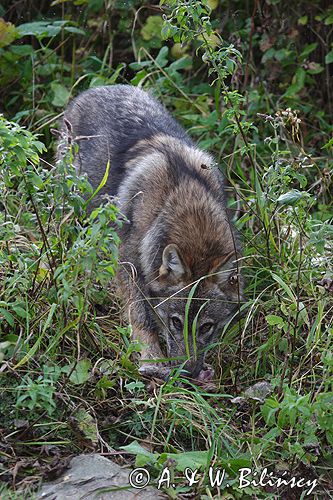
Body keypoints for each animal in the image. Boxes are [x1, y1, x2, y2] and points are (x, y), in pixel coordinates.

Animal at [59, 85, 241, 378]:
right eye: (176, 322)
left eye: (206, 327)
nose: (190, 372)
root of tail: (97, 88)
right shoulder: (127, 261)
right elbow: (140, 315)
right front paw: (152, 359)